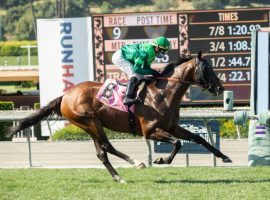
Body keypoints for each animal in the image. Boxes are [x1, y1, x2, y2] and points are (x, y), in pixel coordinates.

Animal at [7, 51, 232, 183]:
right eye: (207, 68)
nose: (220, 88)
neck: (163, 93)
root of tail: (66, 95)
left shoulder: (172, 127)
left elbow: (198, 138)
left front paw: (224, 156)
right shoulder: (151, 131)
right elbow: (177, 143)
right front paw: (161, 160)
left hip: (89, 126)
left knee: (102, 152)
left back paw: (118, 177)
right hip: (90, 121)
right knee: (108, 146)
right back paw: (136, 163)